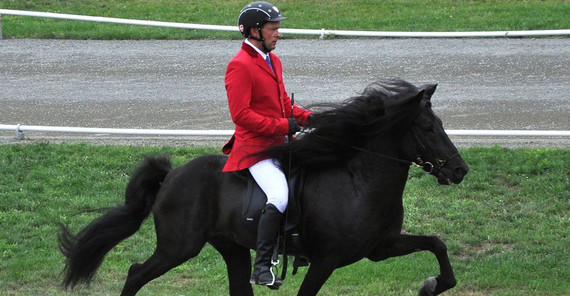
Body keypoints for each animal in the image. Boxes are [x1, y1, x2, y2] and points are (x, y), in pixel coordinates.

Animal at [57, 78, 466, 296]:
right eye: (428, 128)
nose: (460, 170)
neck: (358, 183)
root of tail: (171, 176)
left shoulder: (380, 247)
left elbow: (437, 245)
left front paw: (432, 284)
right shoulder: (326, 260)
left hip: (232, 248)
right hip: (179, 247)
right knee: (136, 273)